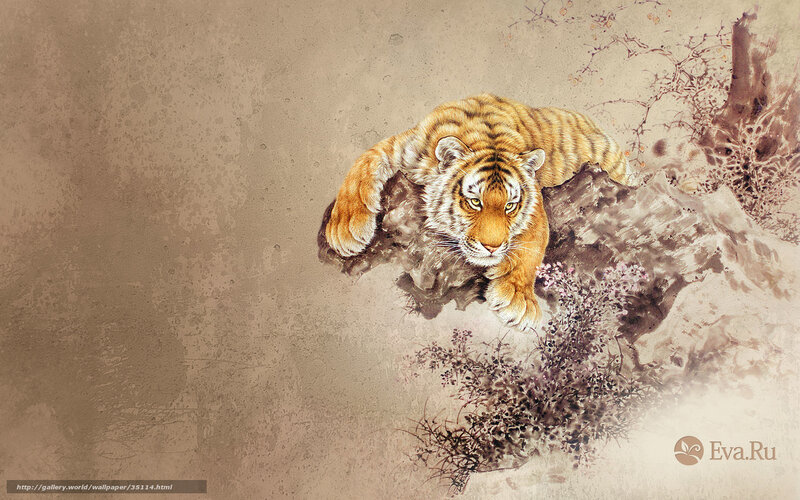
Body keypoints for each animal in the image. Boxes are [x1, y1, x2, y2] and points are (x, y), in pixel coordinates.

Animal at [325, 93, 638, 331]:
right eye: (475, 202)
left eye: (510, 206)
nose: (492, 247)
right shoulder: (403, 147)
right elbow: (362, 164)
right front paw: (344, 229)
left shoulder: (535, 197)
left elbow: (533, 242)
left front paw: (518, 299)